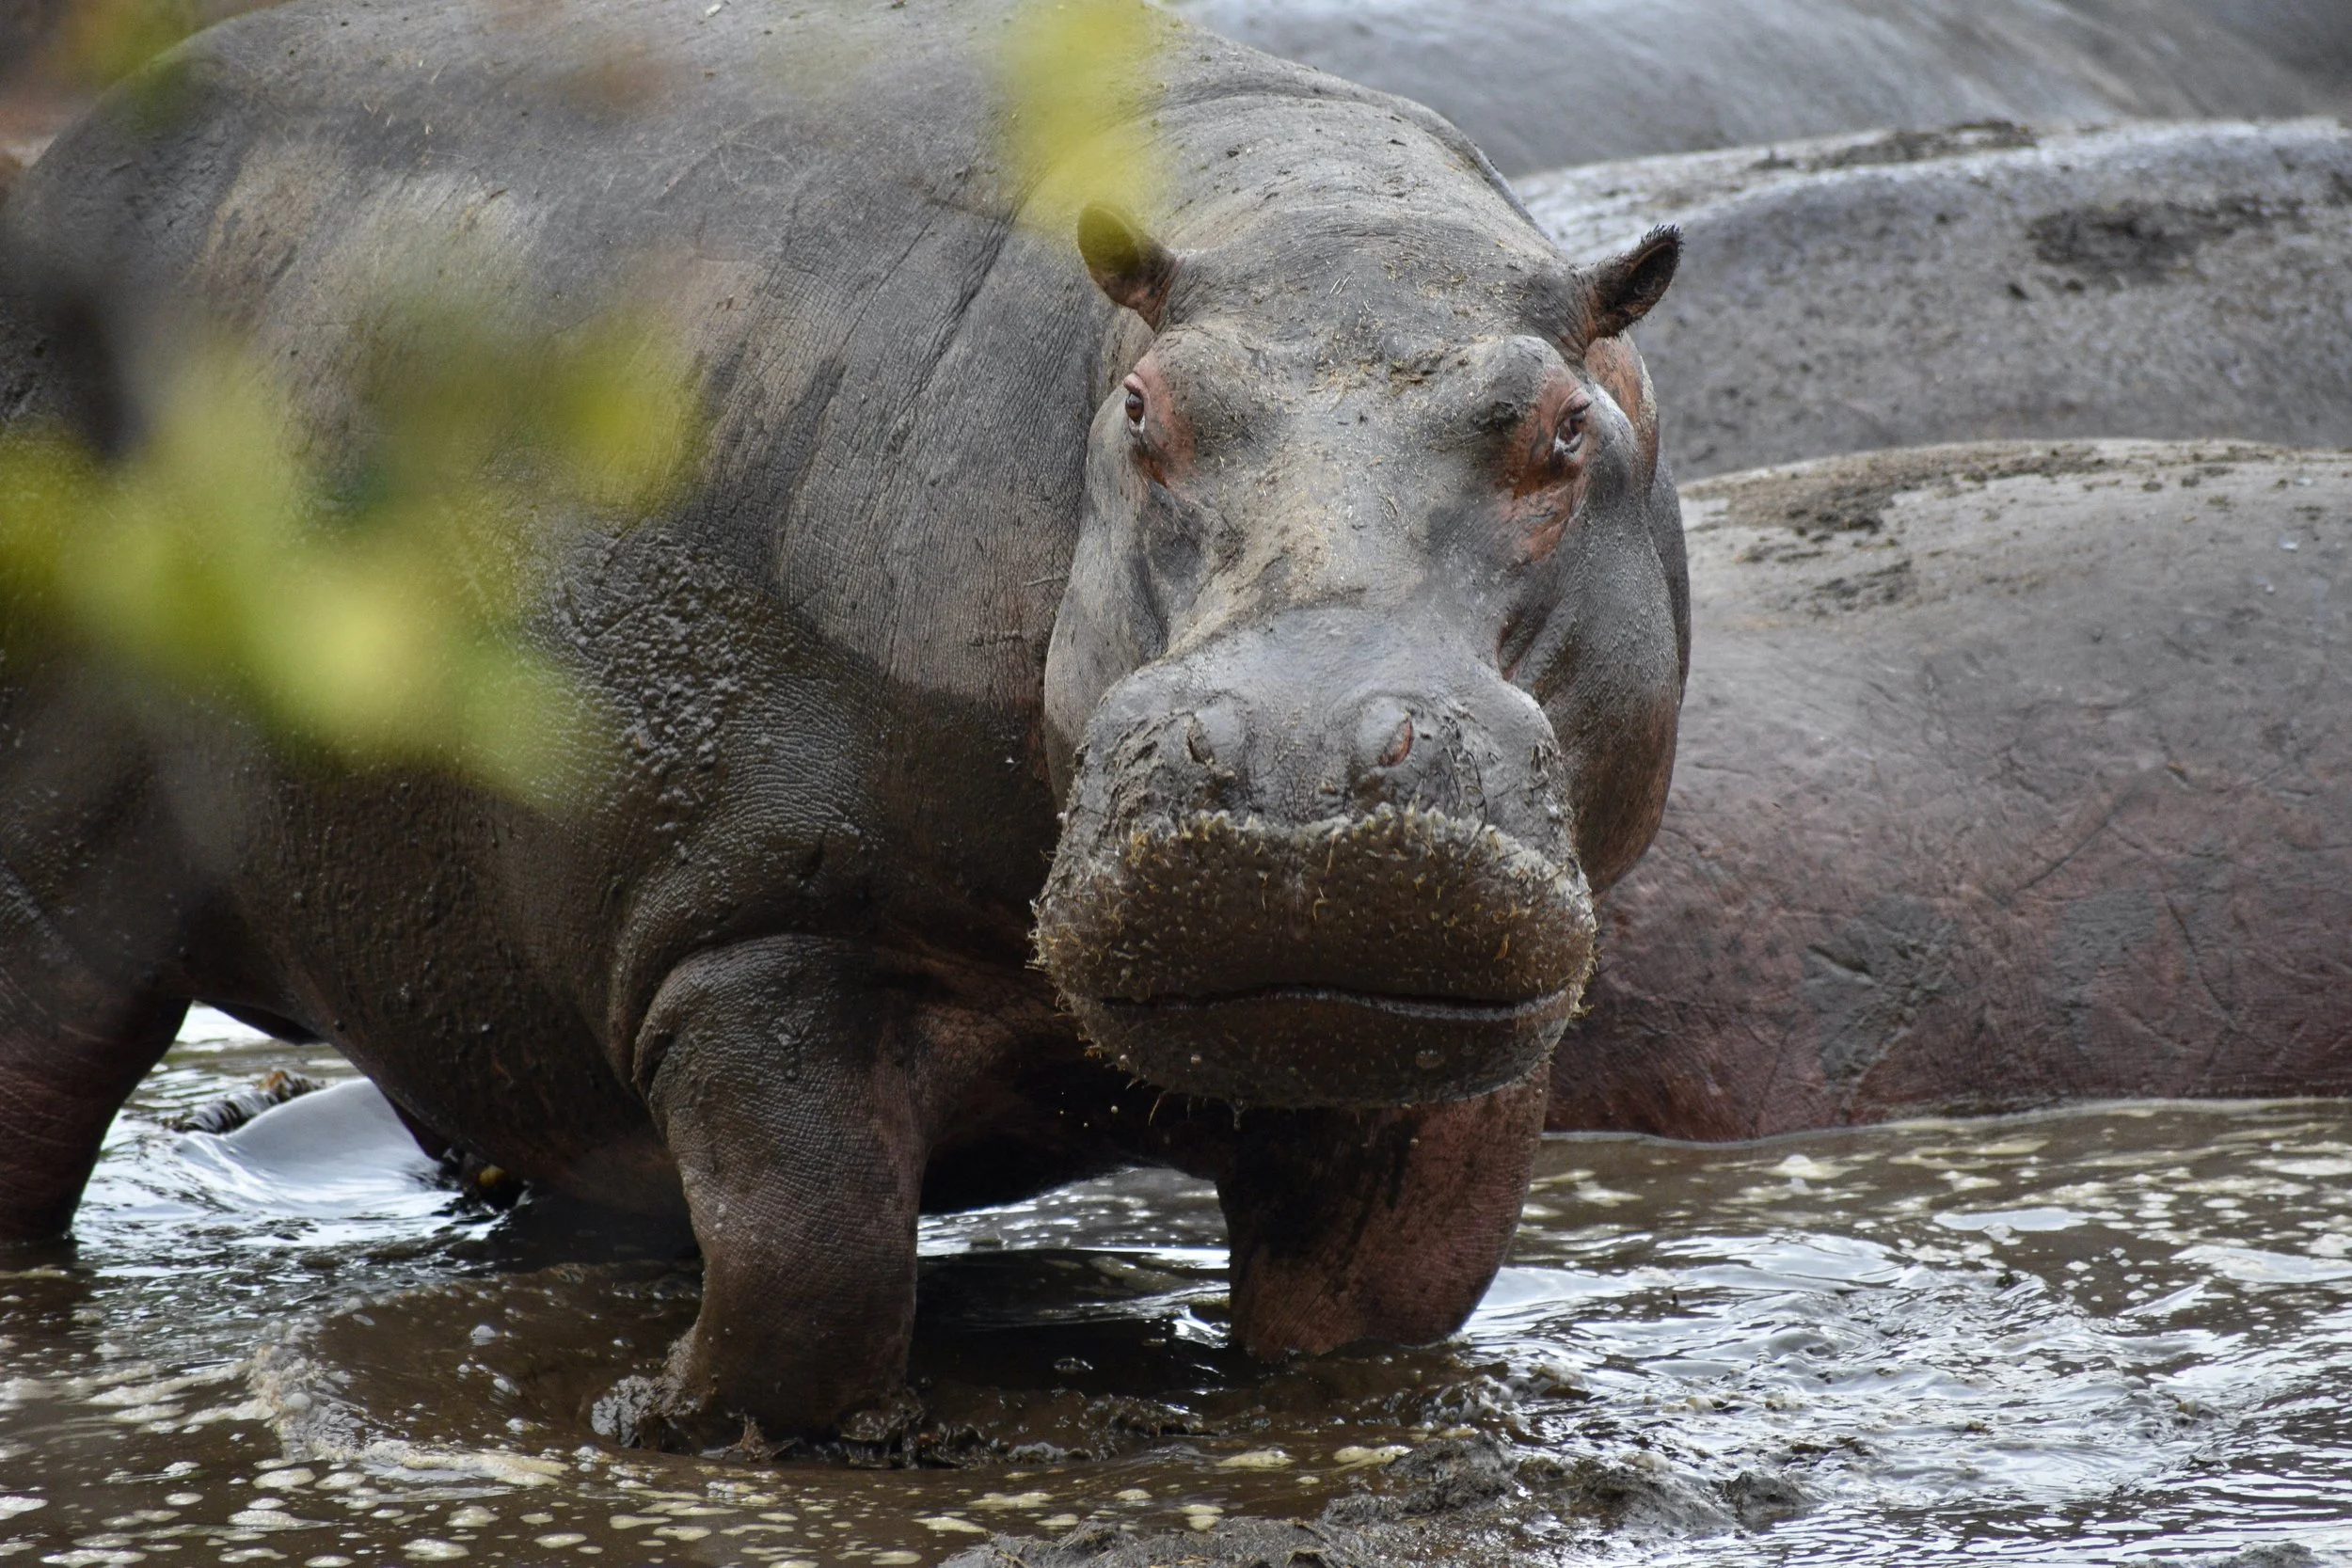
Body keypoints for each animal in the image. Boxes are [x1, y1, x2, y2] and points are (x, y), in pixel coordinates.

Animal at [0, 0, 1686, 1441]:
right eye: (1145, 411)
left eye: (1566, 427)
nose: (1298, 750)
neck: (1318, 232)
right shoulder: (749, 931)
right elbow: (811, 1258)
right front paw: (666, 1415)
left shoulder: (1463, 1066)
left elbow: (1386, 1303)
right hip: (57, 891)